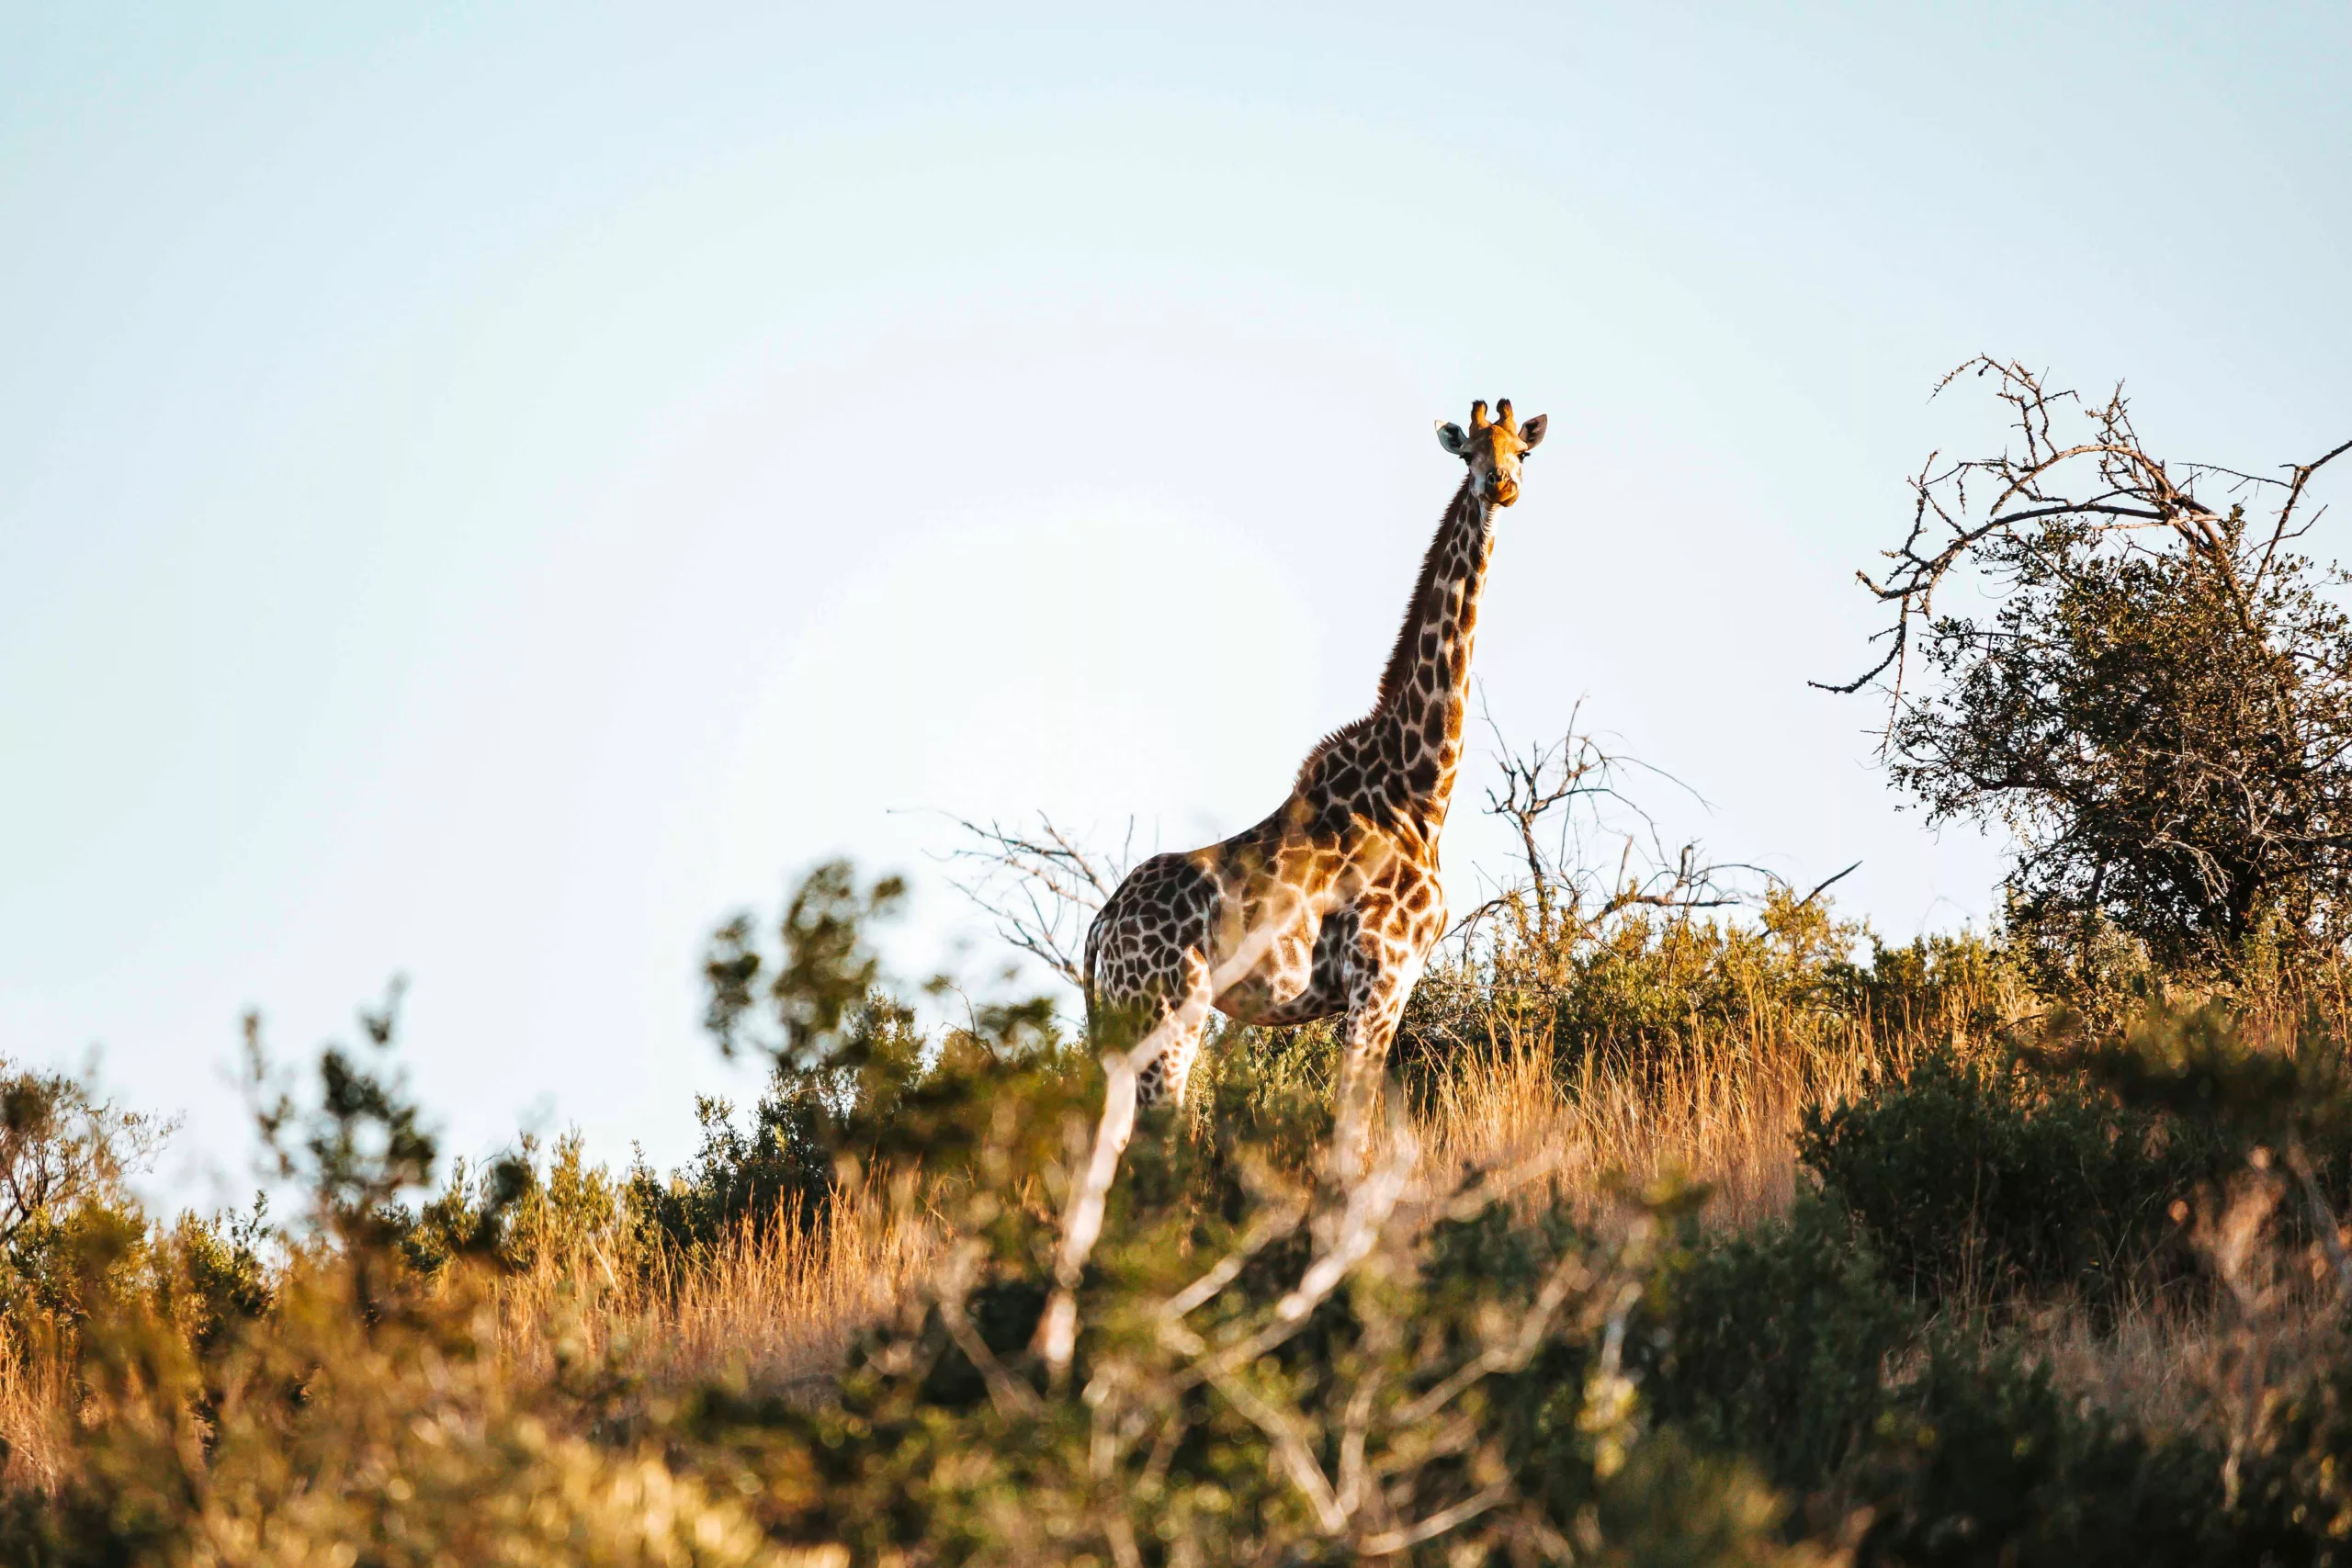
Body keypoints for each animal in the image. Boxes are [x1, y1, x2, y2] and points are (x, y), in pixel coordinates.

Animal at [1084, 397, 1548, 1131]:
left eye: (1520, 451)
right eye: (1469, 451)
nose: (1499, 484)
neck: (1419, 790)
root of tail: (1101, 926)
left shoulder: (1386, 985)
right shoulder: (1380, 978)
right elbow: (1350, 1128)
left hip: (1125, 1023)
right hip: (1168, 1011)